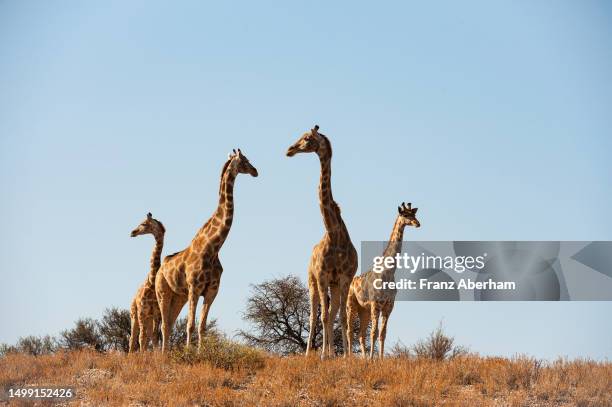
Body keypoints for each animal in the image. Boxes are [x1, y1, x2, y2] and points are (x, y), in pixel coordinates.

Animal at [129, 214, 166, 354]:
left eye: (144, 224)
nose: (132, 232)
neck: (151, 283)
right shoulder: (142, 312)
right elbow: (141, 338)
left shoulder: (157, 313)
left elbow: (155, 337)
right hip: (134, 316)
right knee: (133, 338)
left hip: (148, 319)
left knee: (148, 335)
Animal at [155, 148, 258, 352]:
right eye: (244, 160)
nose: (255, 171)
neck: (213, 248)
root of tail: (160, 269)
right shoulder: (195, 288)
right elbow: (190, 325)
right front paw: (188, 353)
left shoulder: (212, 291)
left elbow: (202, 327)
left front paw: (200, 352)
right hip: (163, 292)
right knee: (163, 325)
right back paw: (162, 355)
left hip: (179, 296)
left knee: (169, 324)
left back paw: (166, 353)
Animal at [286, 126, 358, 358]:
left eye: (307, 138)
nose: (290, 149)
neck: (334, 234)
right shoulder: (322, 276)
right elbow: (323, 316)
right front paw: (325, 355)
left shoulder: (344, 279)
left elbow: (341, 317)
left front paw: (346, 356)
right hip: (312, 282)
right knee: (314, 315)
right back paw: (310, 353)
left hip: (333, 286)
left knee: (332, 313)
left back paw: (331, 352)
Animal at [346, 202, 418, 358]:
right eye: (405, 214)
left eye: (414, 214)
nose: (417, 223)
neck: (389, 272)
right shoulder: (376, 304)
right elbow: (373, 333)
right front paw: (373, 359)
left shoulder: (389, 305)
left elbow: (382, 334)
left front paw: (379, 359)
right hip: (351, 304)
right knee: (349, 331)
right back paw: (348, 357)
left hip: (364, 310)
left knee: (360, 334)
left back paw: (363, 358)